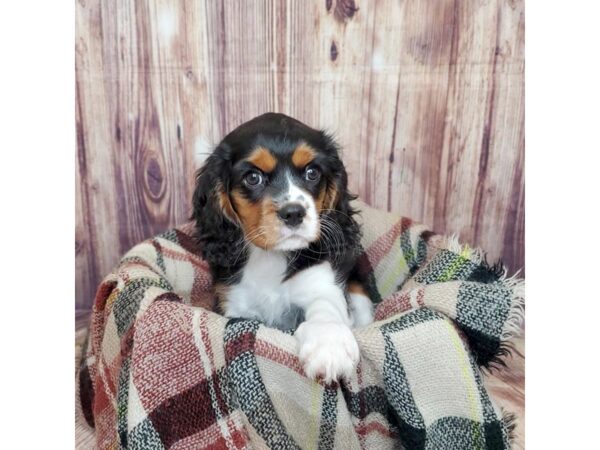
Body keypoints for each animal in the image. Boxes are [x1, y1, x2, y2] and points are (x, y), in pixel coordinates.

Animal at [192, 113, 372, 384]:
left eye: (312, 173)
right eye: (253, 177)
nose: (294, 213)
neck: (271, 257)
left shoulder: (321, 284)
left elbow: (325, 308)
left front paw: (329, 347)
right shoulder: (234, 302)